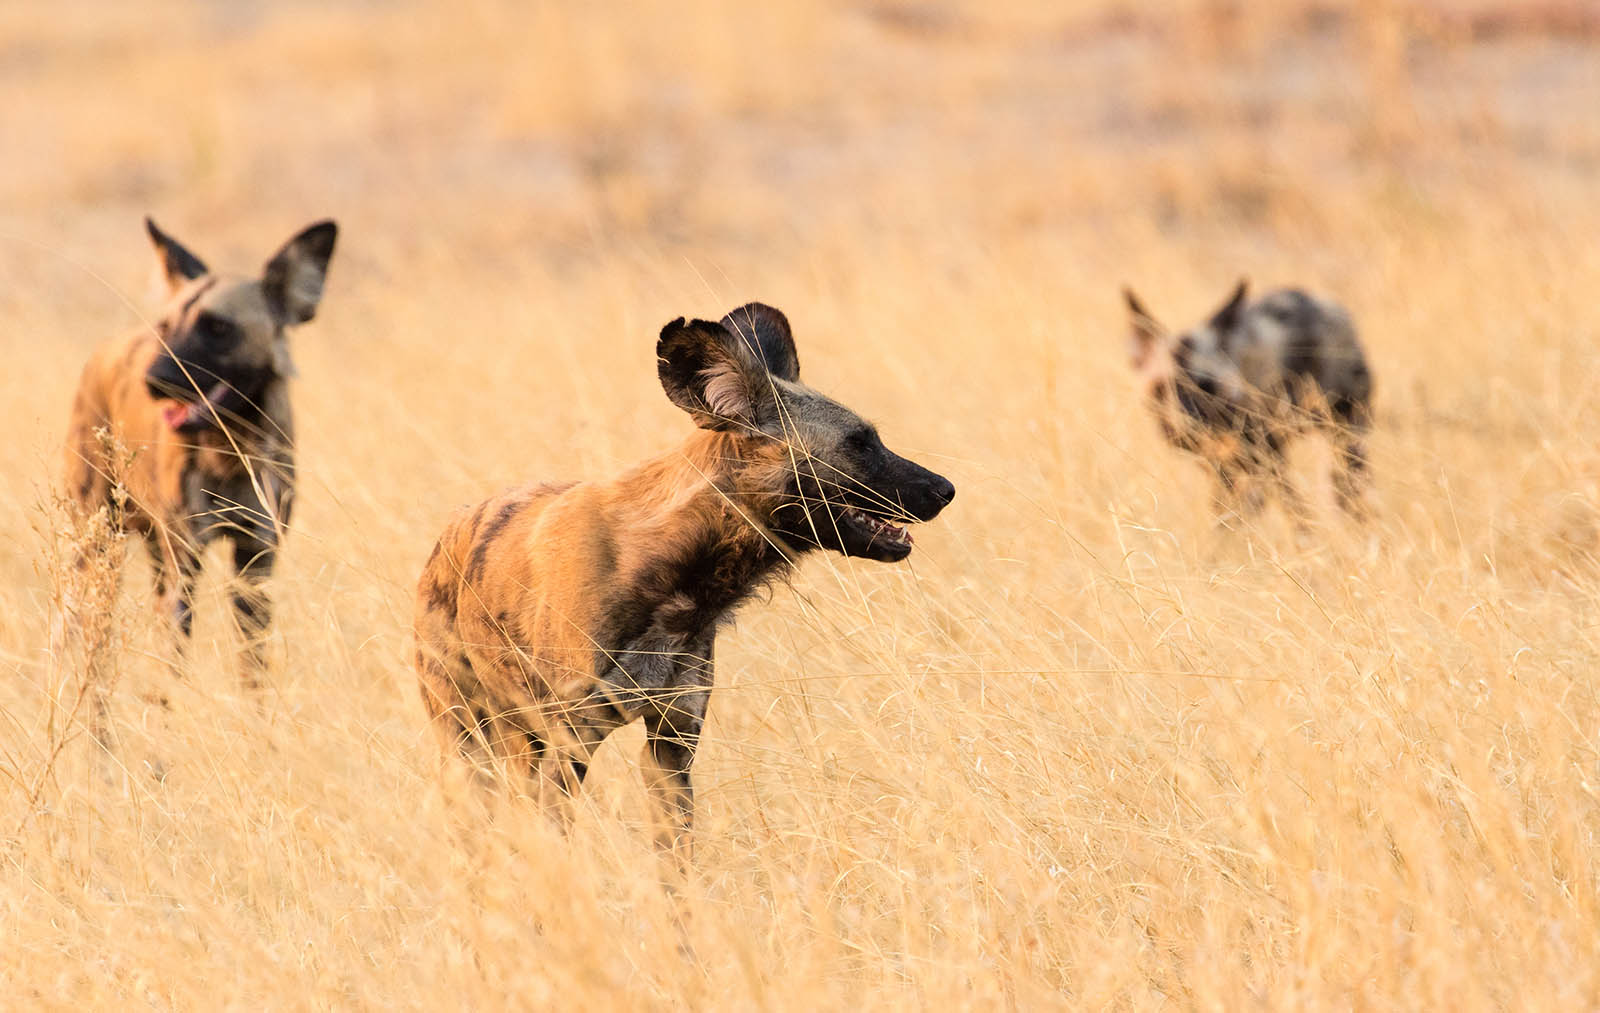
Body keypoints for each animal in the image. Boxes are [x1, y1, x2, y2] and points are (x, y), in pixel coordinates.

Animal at [62, 217, 337, 684]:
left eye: (218, 328)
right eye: (166, 327)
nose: (155, 380)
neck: (230, 451)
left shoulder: (256, 559)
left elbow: (252, 669)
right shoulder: (185, 556)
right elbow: (170, 668)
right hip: (99, 548)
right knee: (90, 646)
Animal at [412, 304, 953, 851]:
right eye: (859, 443)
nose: (945, 489)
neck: (677, 584)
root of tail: (449, 532)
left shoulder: (673, 742)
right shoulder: (569, 743)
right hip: (475, 739)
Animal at [1126, 280, 1376, 524]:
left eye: (1206, 387)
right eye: (1161, 388)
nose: (1190, 421)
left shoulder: (1262, 461)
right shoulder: (1222, 466)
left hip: (1344, 433)